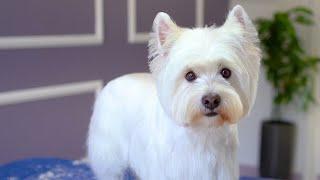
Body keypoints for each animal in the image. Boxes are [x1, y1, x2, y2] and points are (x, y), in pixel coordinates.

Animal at [87, 4, 260, 179]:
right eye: (189, 75)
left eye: (226, 72)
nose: (211, 100)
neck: (203, 132)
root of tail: (112, 82)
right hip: (109, 156)